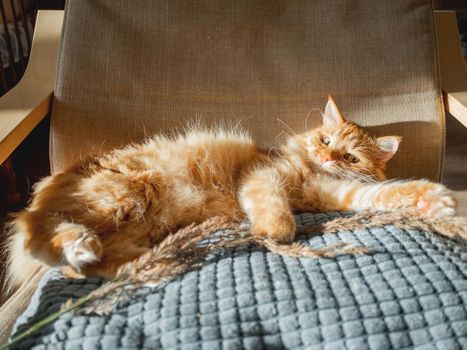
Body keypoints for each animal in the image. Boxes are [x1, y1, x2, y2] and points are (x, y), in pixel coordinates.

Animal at [5, 96, 456, 288]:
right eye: (326, 141)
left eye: (349, 157)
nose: (326, 157)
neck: (308, 172)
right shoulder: (263, 175)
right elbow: (273, 206)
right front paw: (276, 231)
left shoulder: (334, 193)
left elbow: (386, 194)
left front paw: (436, 200)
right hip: (120, 198)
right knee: (36, 236)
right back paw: (81, 245)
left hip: (130, 222)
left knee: (87, 263)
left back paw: (158, 260)